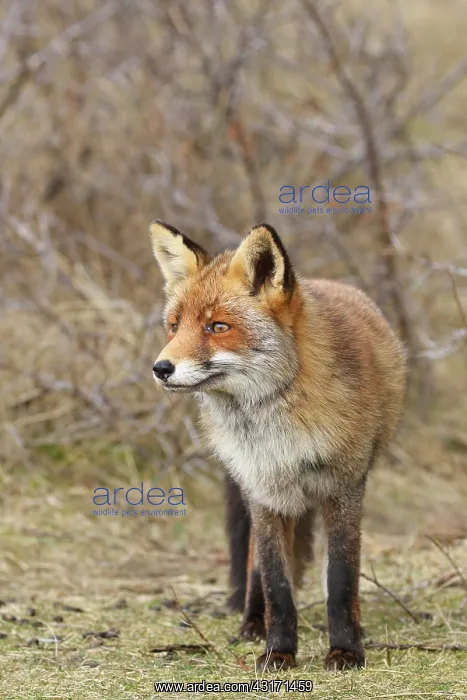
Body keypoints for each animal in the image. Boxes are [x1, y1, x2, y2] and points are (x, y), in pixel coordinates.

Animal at [149, 219, 406, 672]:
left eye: (218, 327)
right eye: (175, 326)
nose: (161, 368)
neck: (277, 436)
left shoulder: (344, 489)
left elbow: (341, 580)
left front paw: (346, 650)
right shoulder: (263, 492)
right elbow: (275, 582)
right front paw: (278, 651)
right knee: (255, 568)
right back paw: (253, 624)